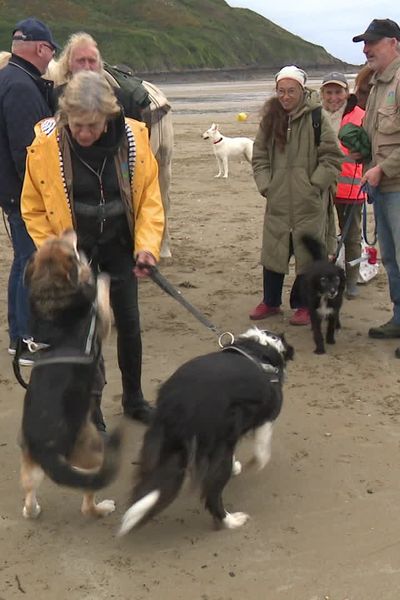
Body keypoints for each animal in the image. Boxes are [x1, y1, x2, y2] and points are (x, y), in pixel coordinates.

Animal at [20, 230, 120, 520]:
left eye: (56, 242)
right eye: (71, 248)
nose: (68, 230)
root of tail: (46, 450)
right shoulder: (103, 322)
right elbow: (100, 293)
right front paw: (97, 275)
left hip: (29, 466)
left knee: (30, 494)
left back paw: (32, 509)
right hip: (93, 454)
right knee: (87, 501)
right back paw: (102, 507)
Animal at [117, 328, 292, 536]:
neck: (261, 348)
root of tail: (179, 404)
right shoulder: (268, 414)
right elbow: (263, 446)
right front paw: (258, 462)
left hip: (162, 445)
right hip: (216, 448)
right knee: (212, 494)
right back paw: (231, 521)